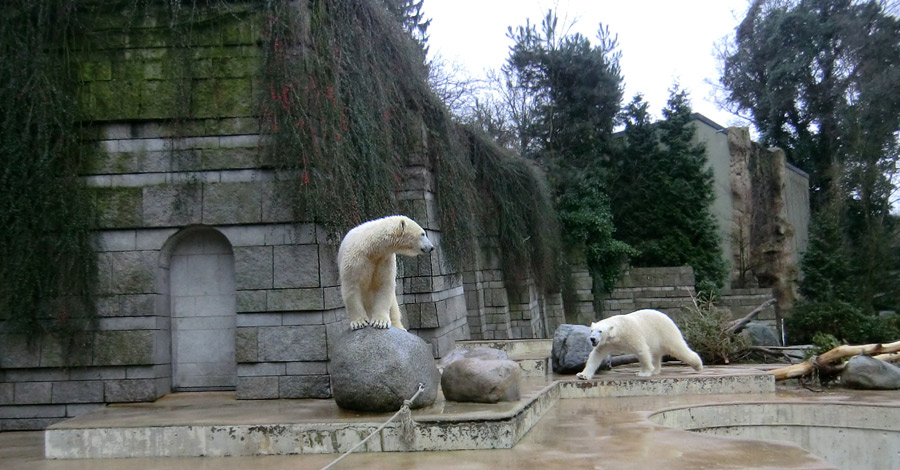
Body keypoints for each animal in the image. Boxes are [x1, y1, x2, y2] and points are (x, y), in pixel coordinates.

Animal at [576, 310, 704, 380]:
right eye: (592, 330)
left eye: (600, 331)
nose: (592, 339)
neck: (619, 331)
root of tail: (668, 318)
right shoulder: (606, 343)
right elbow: (596, 355)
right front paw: (582, 375)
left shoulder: (631, 333)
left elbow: (641, 349)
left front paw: (643, 373)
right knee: (656, 354)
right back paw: (656, 370)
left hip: (666, 332)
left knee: (678, 348)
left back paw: (698, 365)